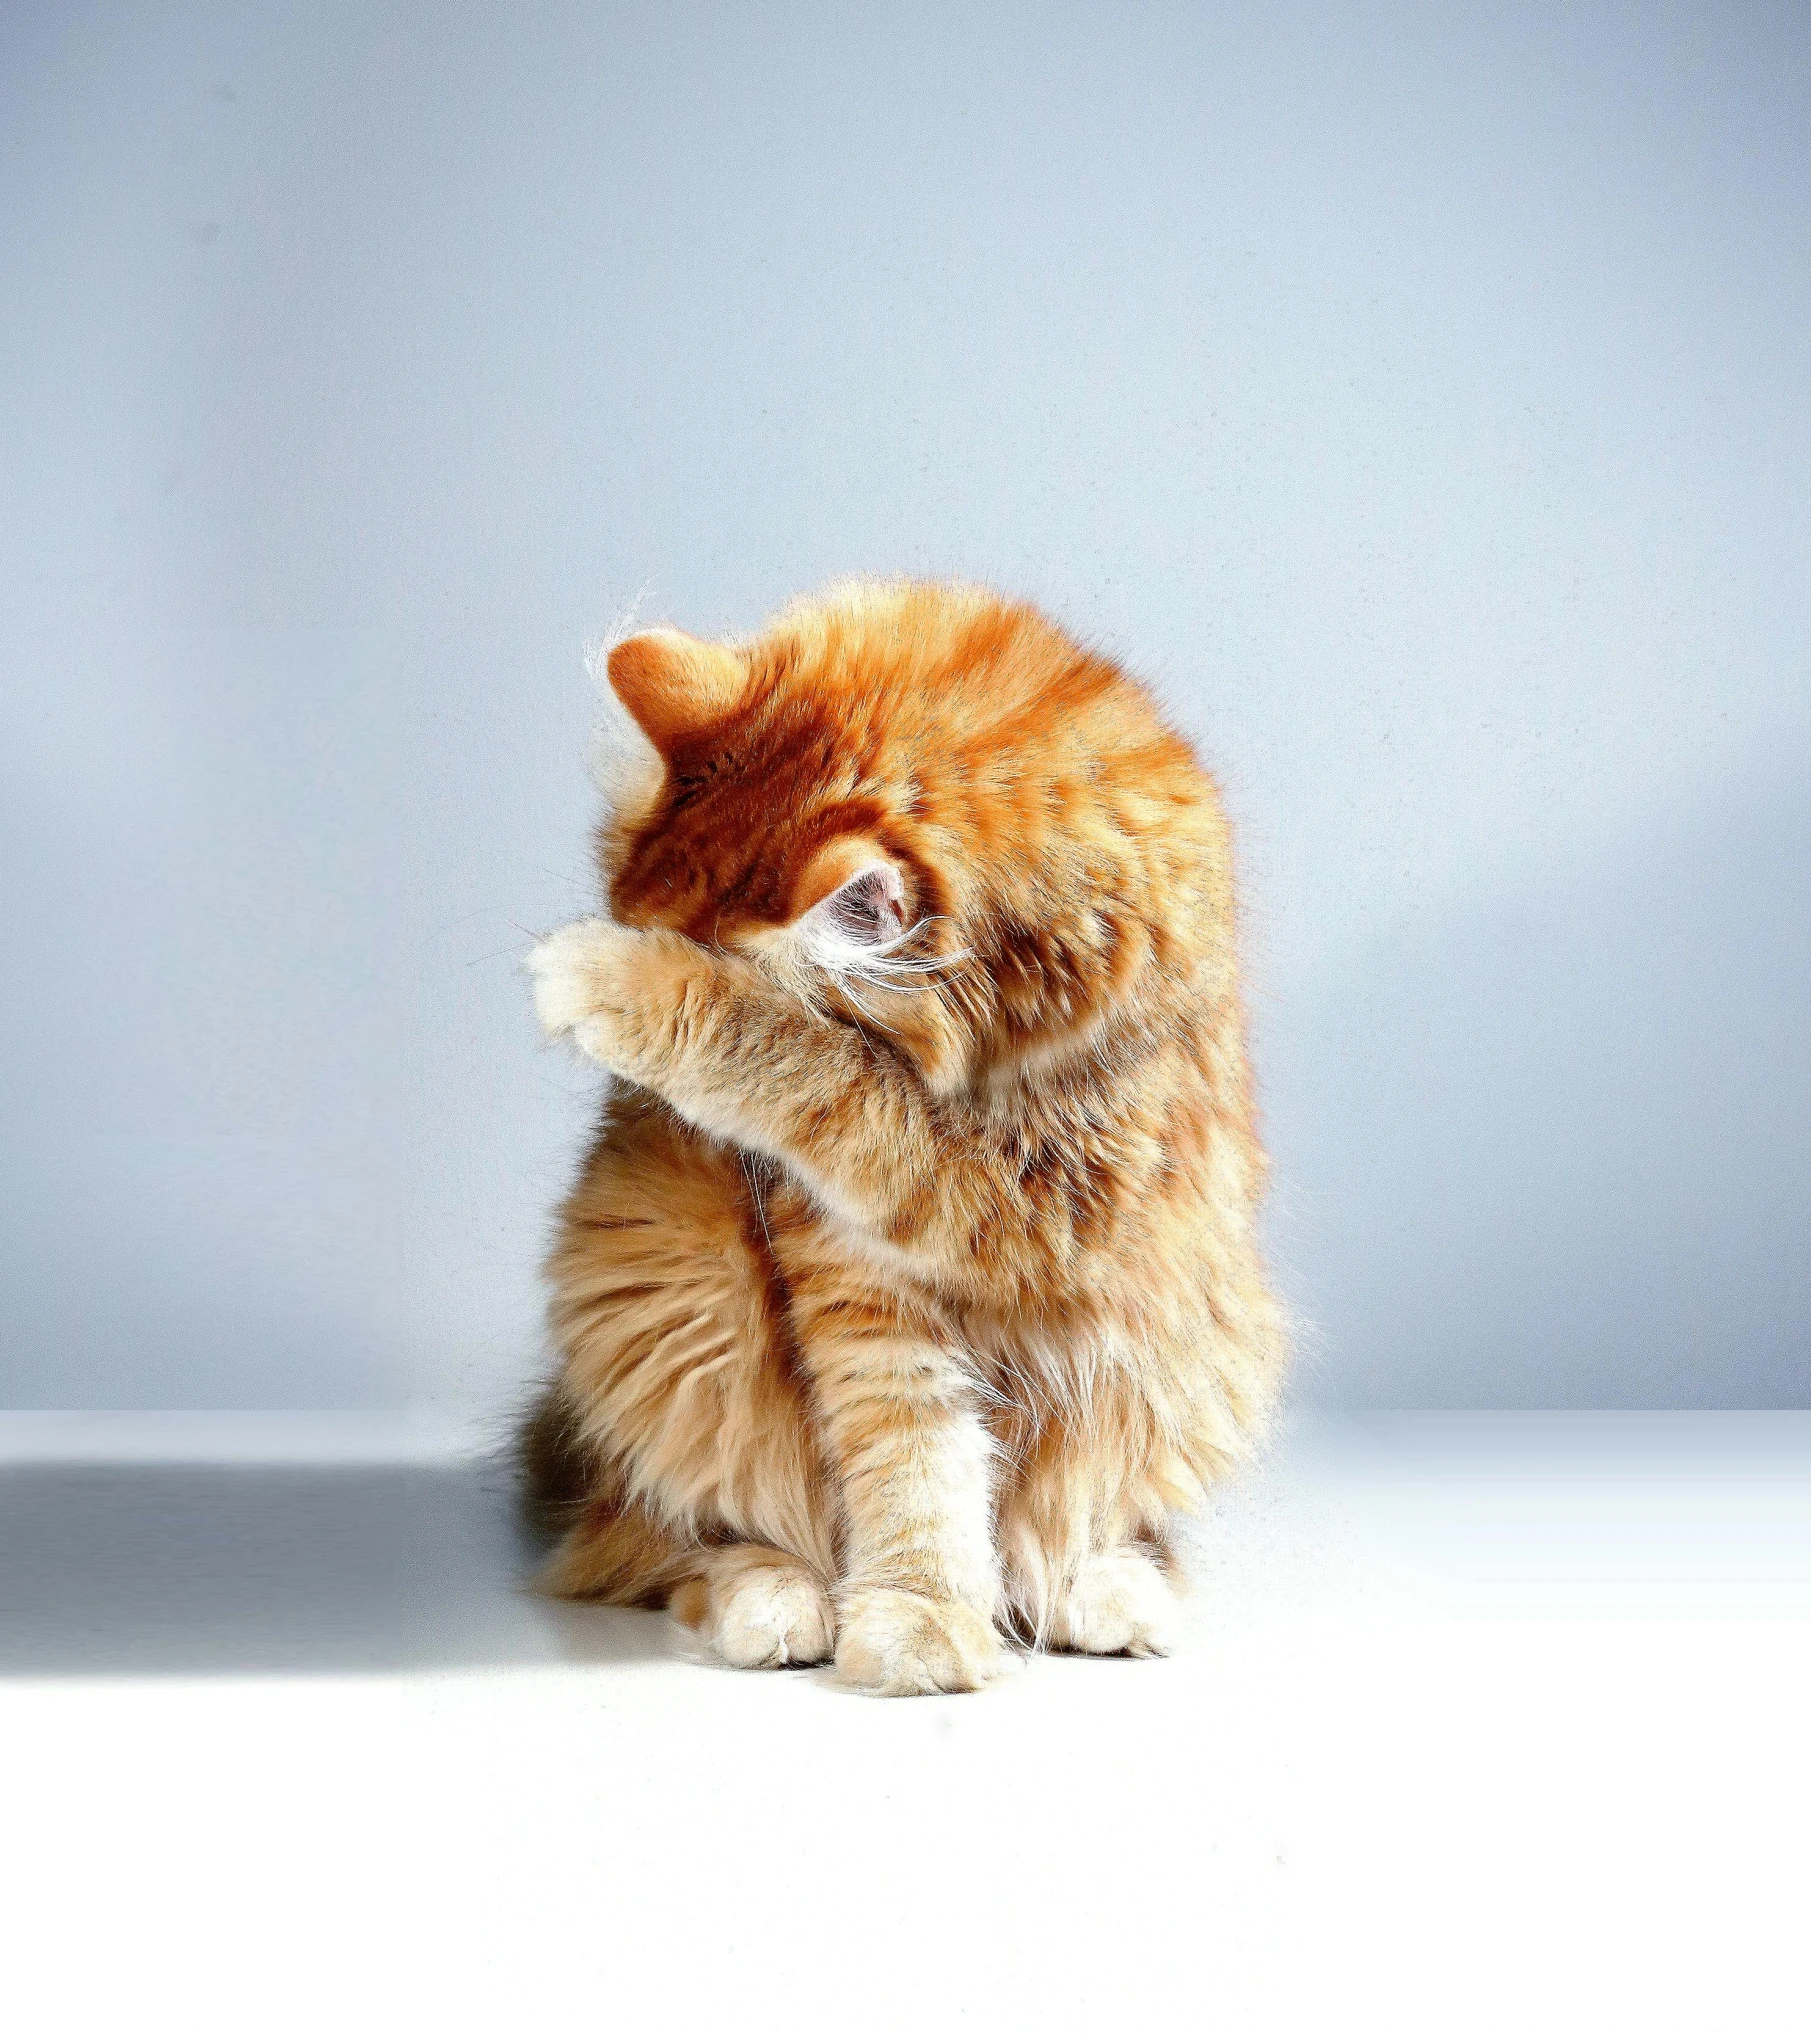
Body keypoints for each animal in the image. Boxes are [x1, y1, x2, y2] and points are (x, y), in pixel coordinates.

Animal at [524, 581, 1292, 1691]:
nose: (645, 1103)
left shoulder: (1036, 1197)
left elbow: (803, 1063)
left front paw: (616, 980)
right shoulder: (856, 1274)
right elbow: (913, 1456)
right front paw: (920, 1617)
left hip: (1193, 1338)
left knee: (1085, 1517)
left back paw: (1099, 1582)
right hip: (661, 1279)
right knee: (669, 1534)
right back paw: (773, 1594)